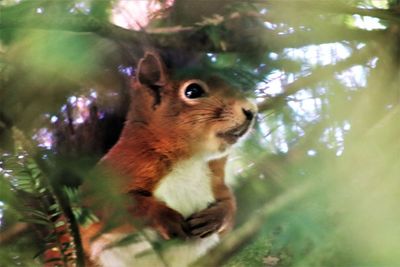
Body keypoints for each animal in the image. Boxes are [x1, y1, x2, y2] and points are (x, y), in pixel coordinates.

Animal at [79, 51, 258, 266]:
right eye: (193, 91)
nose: (251, 110)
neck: (191, 160)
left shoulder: (216, 181)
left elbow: (229, 205)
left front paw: (217, 216)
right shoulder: (116, 170)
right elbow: (104, 202)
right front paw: (163, 216)